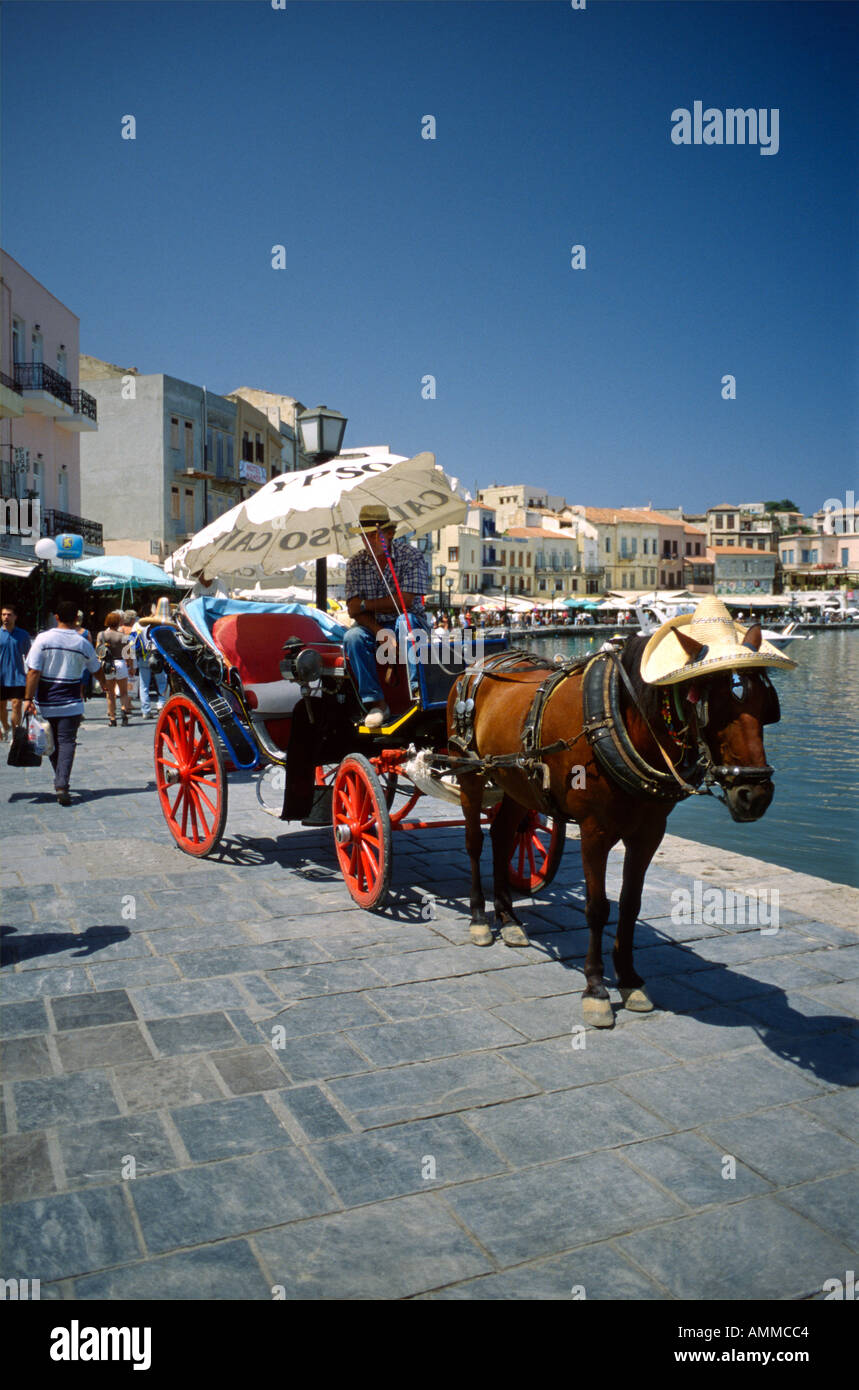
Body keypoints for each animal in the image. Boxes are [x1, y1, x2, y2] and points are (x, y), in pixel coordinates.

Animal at [444, 625, 778, 1028]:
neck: (619, 720)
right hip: (469, 771)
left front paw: (630, 980)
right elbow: (597, 908)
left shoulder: (649, 833)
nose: (754, 795)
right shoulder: (594, 832)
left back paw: (508, 919)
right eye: (712, 704)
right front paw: (596, 989)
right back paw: (480, 917)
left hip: (516, 780)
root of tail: (481, 663)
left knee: (503, 835)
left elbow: (631, 904)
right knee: (474, 841)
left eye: (765, 705)